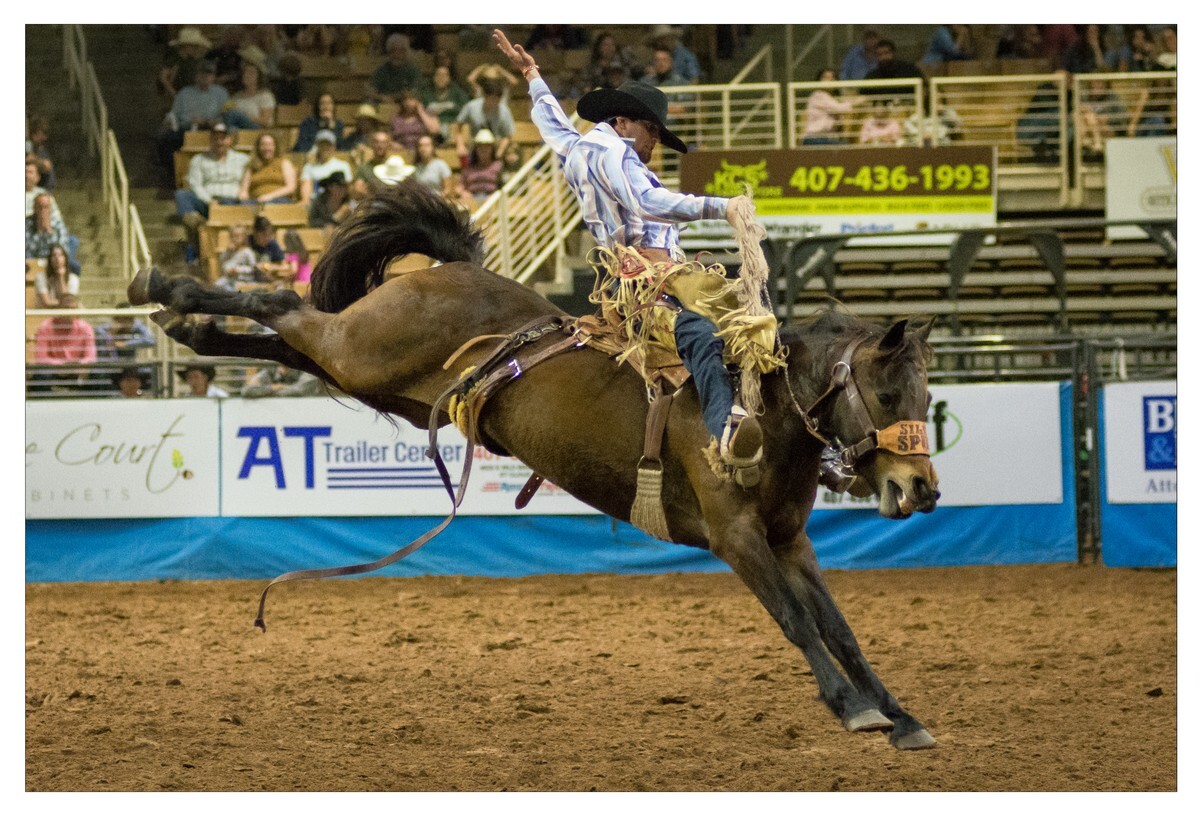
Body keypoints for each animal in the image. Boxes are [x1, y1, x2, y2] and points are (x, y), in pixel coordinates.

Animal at [129, 184, 936, 753]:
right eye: (889, 393)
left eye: (930, 396)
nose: (922, 488)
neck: (758, 407)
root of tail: (450, 270)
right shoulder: (735, 537)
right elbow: (798, 623)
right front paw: (856, 710)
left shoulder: (789, 540)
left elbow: (839, 627)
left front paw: (901, 715)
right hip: (360, 347)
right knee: (280, 303)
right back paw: (161, 288)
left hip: (364, 374)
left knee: (285, 340)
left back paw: (189, 325)